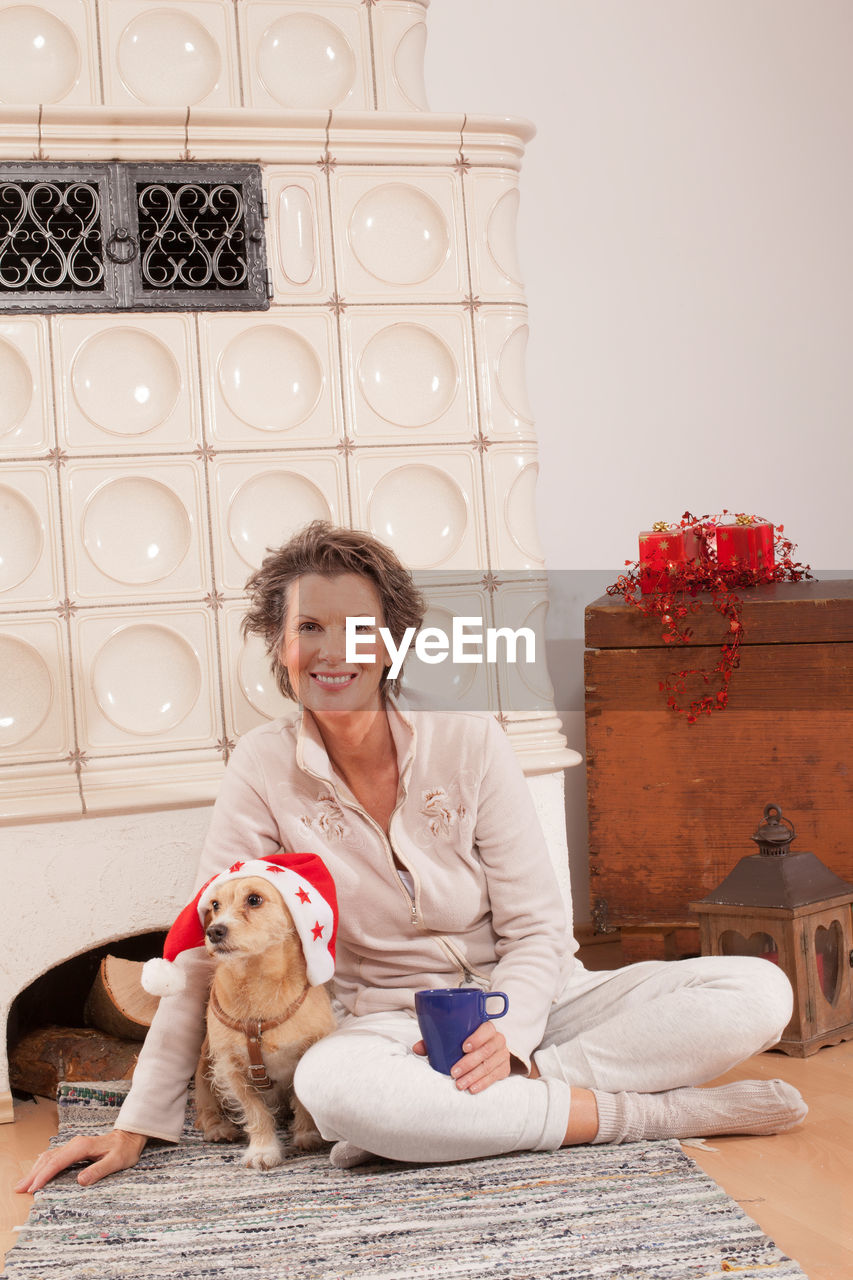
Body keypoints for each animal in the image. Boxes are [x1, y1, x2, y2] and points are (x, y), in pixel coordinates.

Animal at [193, 875, 335, 1167]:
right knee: (206, 1106)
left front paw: (307, 1135)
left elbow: (301, 1101)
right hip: (204, 1068)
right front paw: (263, 1149)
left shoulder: (306, 1053)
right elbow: (255, 1112)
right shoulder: (231, 1068)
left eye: (254, 899)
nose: (214, 931)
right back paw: (218, 1128)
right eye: (215, 904)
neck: (257, 981)